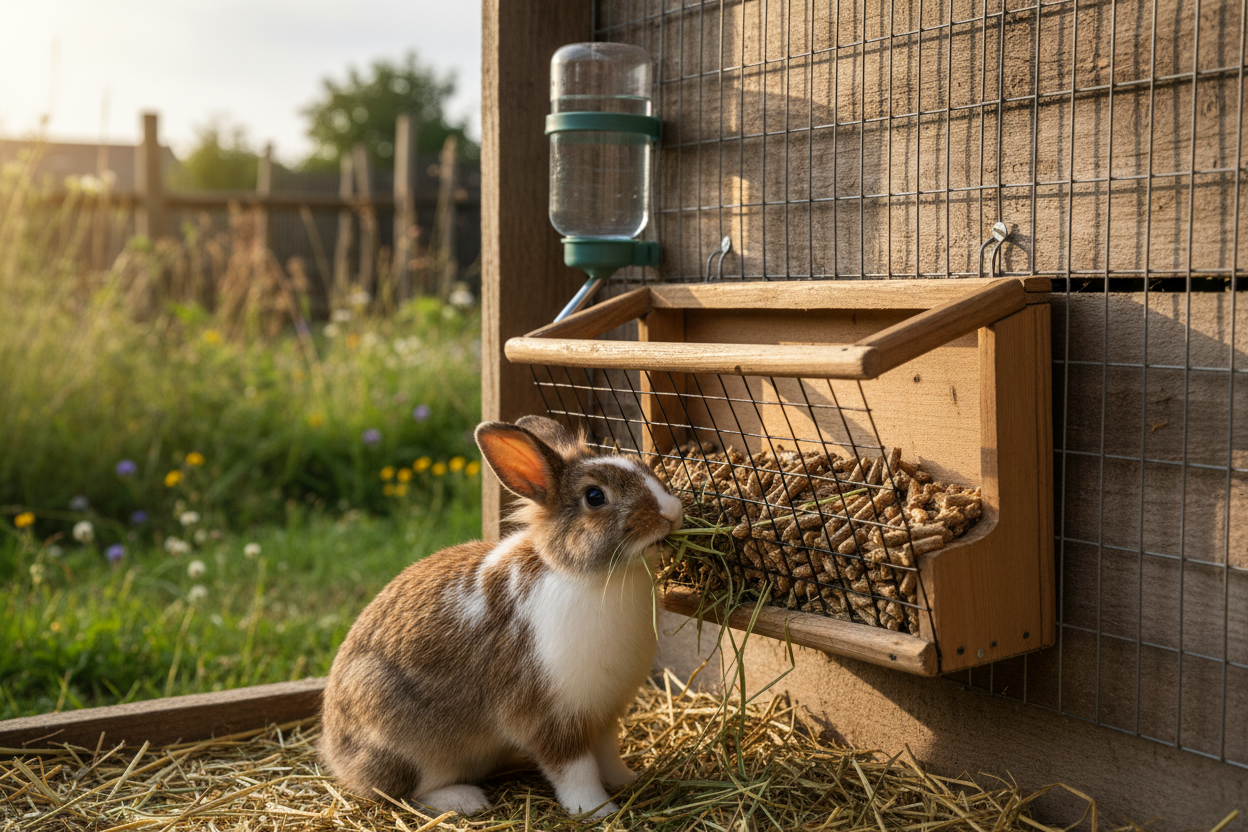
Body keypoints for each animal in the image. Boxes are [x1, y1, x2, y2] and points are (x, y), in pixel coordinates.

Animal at [319, 415, 683, 820]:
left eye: (640, 466)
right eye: (595, 496)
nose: (671, 512)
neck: (586, 574)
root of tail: (335, 755)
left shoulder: (602, 713)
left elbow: (607, 754)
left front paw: (627, 779)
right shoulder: (550, 717)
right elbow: (575, 770)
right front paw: (596, 810)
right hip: (402, 736)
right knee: (404, 791)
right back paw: (464, 800)